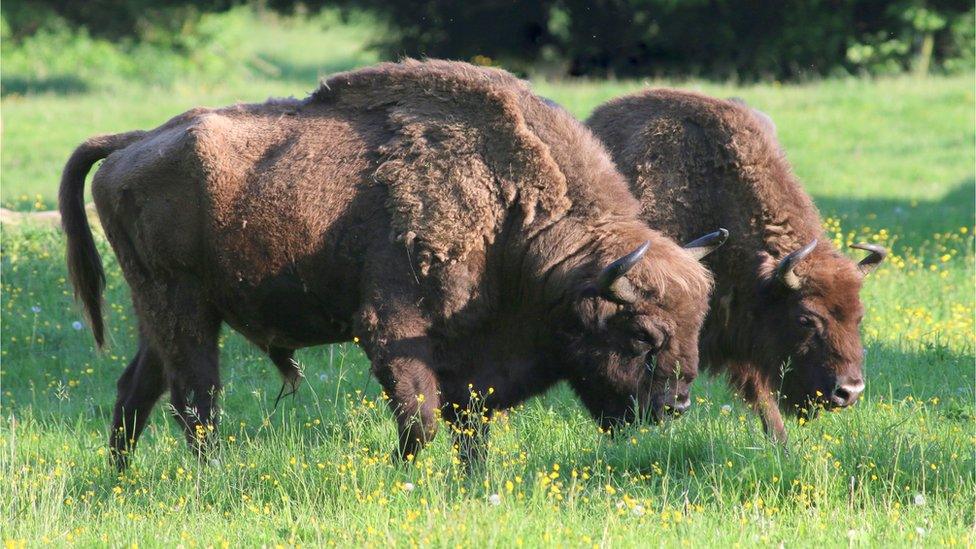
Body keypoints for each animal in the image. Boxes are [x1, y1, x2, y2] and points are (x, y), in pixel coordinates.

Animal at [55, 62, 724, 468]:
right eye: (641, 333)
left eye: (697, 325)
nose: (677, 405)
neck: (516, 220)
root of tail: (133, 143)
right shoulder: (393, 332)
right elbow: (419, 422)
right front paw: (408, 481)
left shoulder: (469, 360)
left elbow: (470, 427)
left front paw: (470, 484)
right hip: (183, 307)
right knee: (195, 402)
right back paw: (211, 475)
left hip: (163, 313)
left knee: (137, 391)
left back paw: (120, 479)